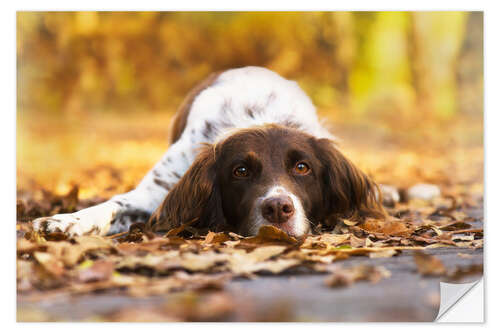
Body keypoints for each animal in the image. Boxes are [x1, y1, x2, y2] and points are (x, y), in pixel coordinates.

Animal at [33, 66, 384, 237]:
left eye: (302, 167)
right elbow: (111, 206)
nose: (277, 209)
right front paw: (64, 222)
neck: (256, 115)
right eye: (240, 171)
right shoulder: (158, 191)